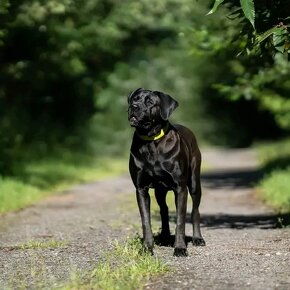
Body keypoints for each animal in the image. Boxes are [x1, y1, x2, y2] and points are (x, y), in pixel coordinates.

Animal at [128, 88, 205, 256]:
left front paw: (180, 248)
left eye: (150, 102)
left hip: (194, 182)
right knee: (164, 210)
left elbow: (180, 220)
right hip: (160, 190)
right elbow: (146, 220)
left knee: (195, 210)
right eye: (134, 99)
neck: (150, 141)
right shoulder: (141, 189)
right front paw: (147, 247)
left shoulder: (180, 188)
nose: (134, 107)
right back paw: (164, 236)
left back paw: (197, 238)